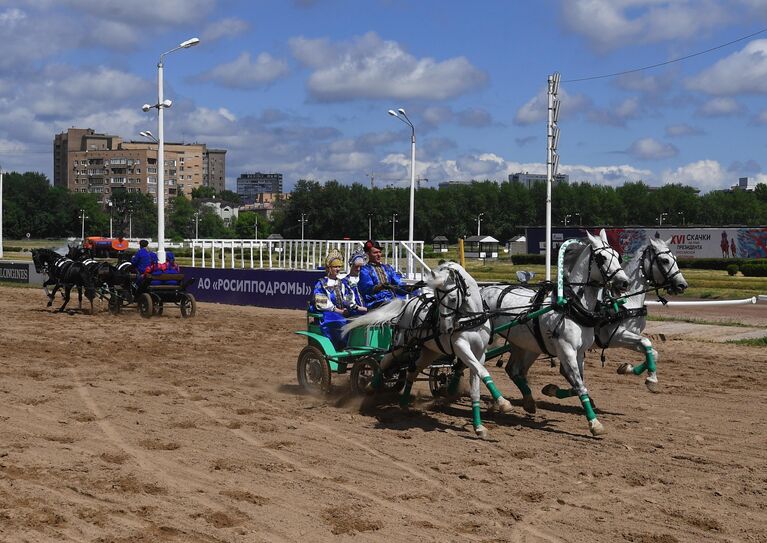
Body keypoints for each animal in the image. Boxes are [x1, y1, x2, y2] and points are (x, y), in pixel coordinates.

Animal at [344, 262, 512, 440]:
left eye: (453, 299)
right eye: (437, 298)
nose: (445, 328)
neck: (470, 319)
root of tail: (408, 303)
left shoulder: (480, 354)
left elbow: (477, 384)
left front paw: (479, 427)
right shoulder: (461, 347)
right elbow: (483, 371)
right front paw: (504, 403)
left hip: (429, 352)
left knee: (412, 372)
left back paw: (404, 404)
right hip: (401, 345)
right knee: (384, 361)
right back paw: (370, 384)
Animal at [484, 230, 632, 438]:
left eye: (618, 256)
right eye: (601, 258)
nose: (624, 282)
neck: (571, 305)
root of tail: (484, 288)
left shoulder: (579, 352)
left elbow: (578, 383)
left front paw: (551, 390)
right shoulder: (567, 350)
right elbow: (579, 385)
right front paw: (594, 423)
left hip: (524, 344)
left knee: (514, 370)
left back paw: (528, 402)